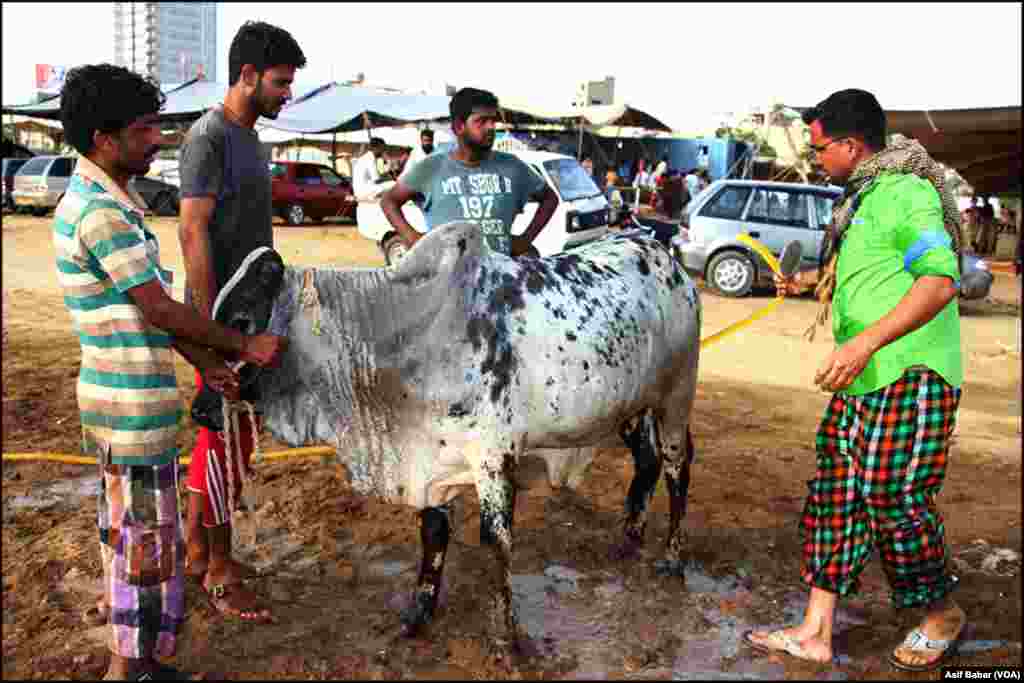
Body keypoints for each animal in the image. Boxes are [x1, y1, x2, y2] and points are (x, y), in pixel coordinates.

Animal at [217, 224, 704, 651]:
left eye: (242, 321)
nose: (207, 404)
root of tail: (664, 254)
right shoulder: (431, 463)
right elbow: (433, 535)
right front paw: (418, 615)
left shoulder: (494, 457)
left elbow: (498, 541)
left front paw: (507, 636)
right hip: (631, 407)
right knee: (647, 462)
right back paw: (630, 537)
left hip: (676, 396)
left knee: (677, 467)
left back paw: (672, 557)